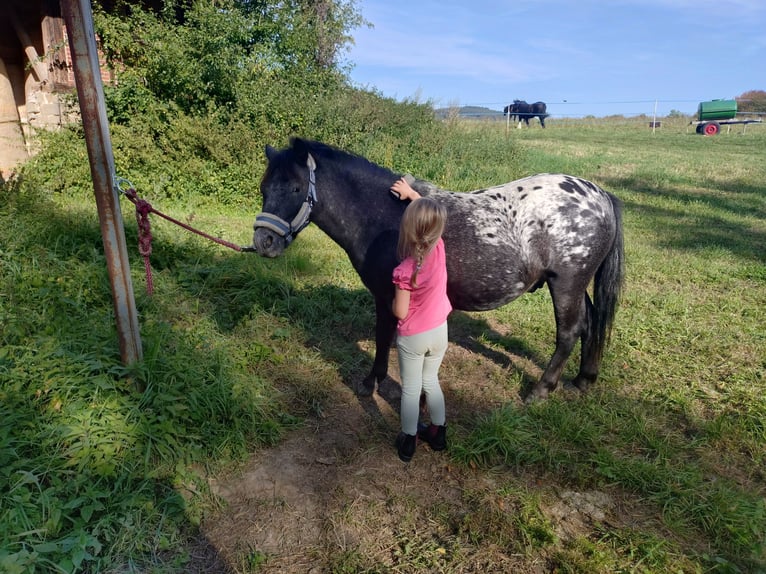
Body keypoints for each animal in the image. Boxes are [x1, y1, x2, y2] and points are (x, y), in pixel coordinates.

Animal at [251, 138, 624, 401]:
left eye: (296, 188)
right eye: (264, 187)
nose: (263, 242)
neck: (386, 216)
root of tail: (600, 196)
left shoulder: (387, 295)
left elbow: (383, 337)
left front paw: (371, 382)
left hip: (567, 283)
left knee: (570, 332)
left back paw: (540, 391)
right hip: (575, 284)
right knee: (590, 324)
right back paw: (582, 380)